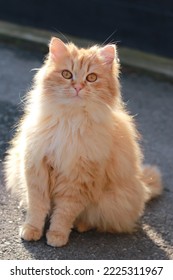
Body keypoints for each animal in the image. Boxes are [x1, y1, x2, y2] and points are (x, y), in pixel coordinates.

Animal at [4, 37, 164, 247]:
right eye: (67, 74)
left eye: (91, 78)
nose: (78, 87)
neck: (70, 121)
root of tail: (142, 186)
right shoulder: (37, 169)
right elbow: (37, 208)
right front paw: (31, 230)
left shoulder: (78, 178)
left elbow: (63, 214)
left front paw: (57, 236)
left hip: (111, 201)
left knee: (95, 219)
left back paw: (81, 225)